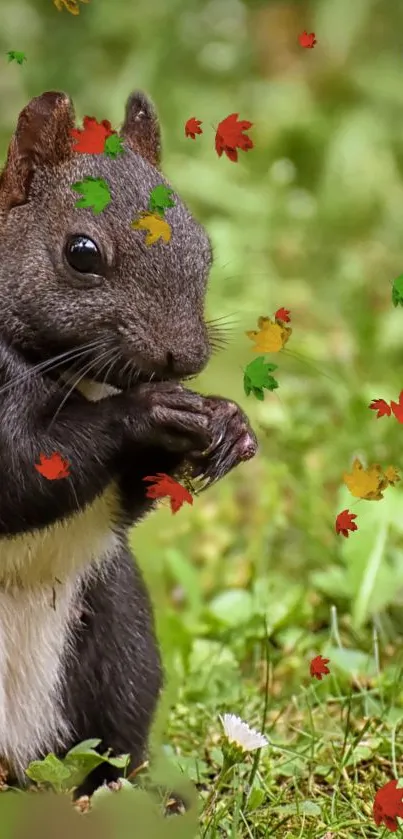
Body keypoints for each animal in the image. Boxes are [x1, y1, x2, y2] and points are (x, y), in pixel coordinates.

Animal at [0, 88, 258, 796]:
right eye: (81, 252)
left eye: (204, 247)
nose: (187, 358)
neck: (78, 381)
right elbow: (21, 472)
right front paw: (145, 411)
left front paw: (229, 421)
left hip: (120, 642)